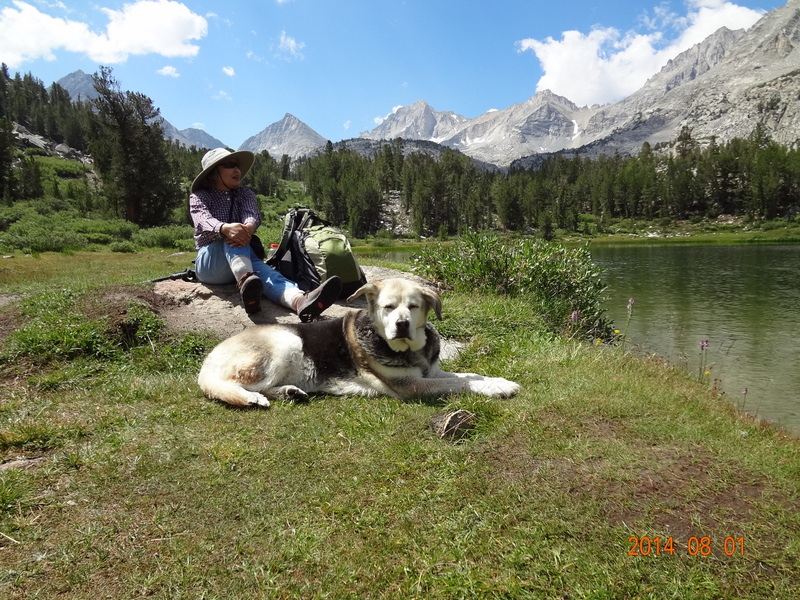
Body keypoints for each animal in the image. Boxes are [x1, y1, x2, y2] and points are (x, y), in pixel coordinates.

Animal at [198, 278, 520, 408]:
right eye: (388, 307)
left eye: (413, 307)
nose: (401, 325)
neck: (411, 351)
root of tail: (208, 361)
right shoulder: (411, 386)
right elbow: (459, 384)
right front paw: (498, 387)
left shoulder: (432, 371)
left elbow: (468, 375)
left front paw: (496, 380)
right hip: (285, 342)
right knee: (234, 386)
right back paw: (254, 397)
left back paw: (291, 392)